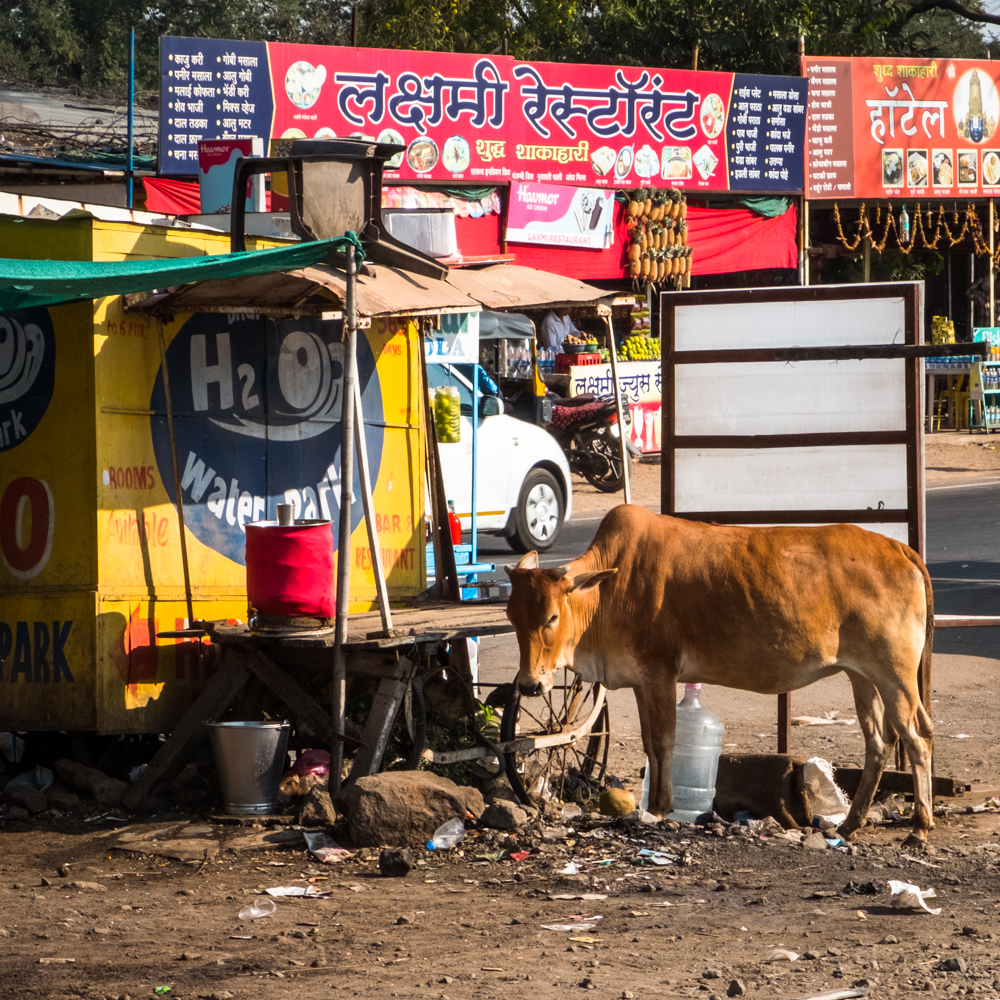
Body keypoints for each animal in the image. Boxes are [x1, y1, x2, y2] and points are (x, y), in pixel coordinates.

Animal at [508, 508, 936, 844]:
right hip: (861, 675)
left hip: (895, 674)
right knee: (878, 741)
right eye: (512, 616)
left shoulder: (660, 672)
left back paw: (919, 828)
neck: (609, 589)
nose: (529, 684)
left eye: (551, 617)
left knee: (917, 738)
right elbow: (649, 744)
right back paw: (849, 825)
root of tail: (900, 549)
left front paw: (661, 808)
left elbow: (664, 742)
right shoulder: (641, 681)